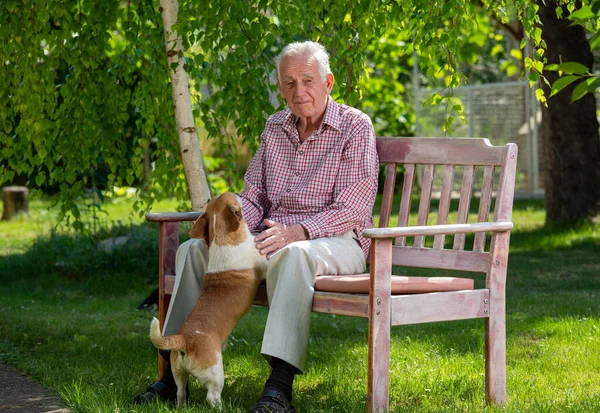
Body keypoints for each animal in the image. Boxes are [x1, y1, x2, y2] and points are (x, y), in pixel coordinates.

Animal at [149, 192, 266, 406]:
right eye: (234, 196)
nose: (241, 193)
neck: (221, 233)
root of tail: (184, 339)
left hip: (179, 374)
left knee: (180, 393)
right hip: (215, 374)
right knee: (212, 395)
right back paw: (222, 407)